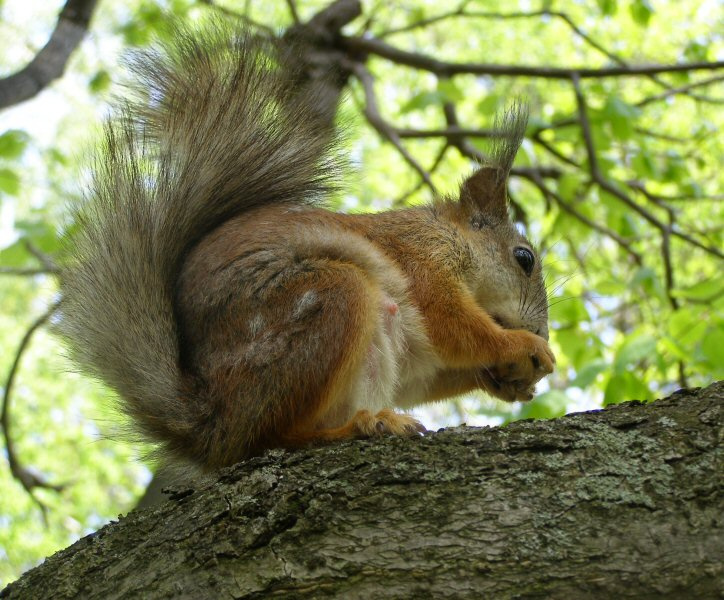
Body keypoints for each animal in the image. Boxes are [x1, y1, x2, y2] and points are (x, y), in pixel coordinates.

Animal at [58, 22, 555, 471]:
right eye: (524, 258)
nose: (544, 332)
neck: (450, 237)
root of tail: (214, 427)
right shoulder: (421, 260)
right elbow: (452, 323)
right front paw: (523, 346)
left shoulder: (418, 355)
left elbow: (429, 372)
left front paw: (509, 381)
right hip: (325, 302)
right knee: (272, 438)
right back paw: (355, 428)